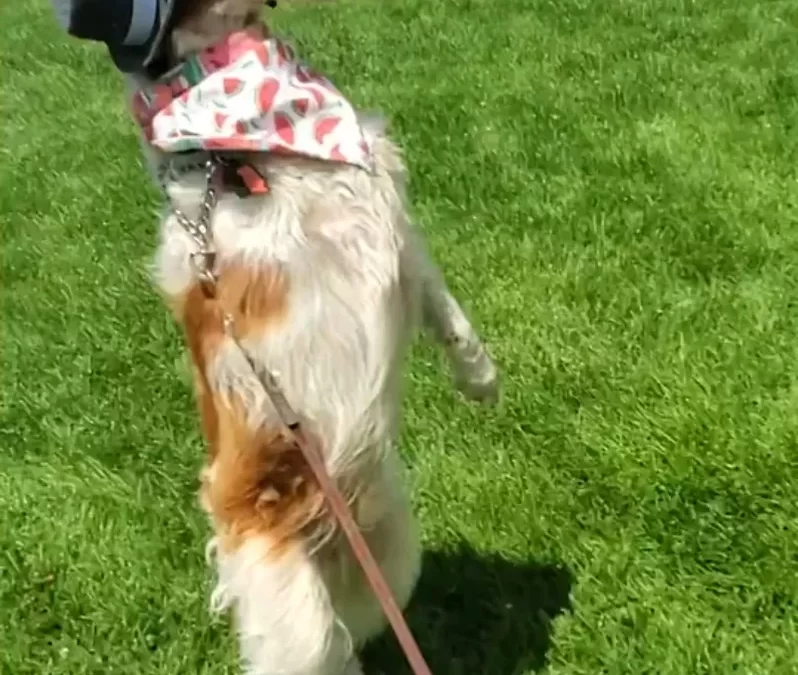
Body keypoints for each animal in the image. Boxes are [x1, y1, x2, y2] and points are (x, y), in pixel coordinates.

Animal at [125, 2, 500, 672]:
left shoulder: (392, 222)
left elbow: (444, 307)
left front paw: (480, 376)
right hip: (292, 612)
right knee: (322, 644)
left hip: (391, 553)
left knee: (354, 628)